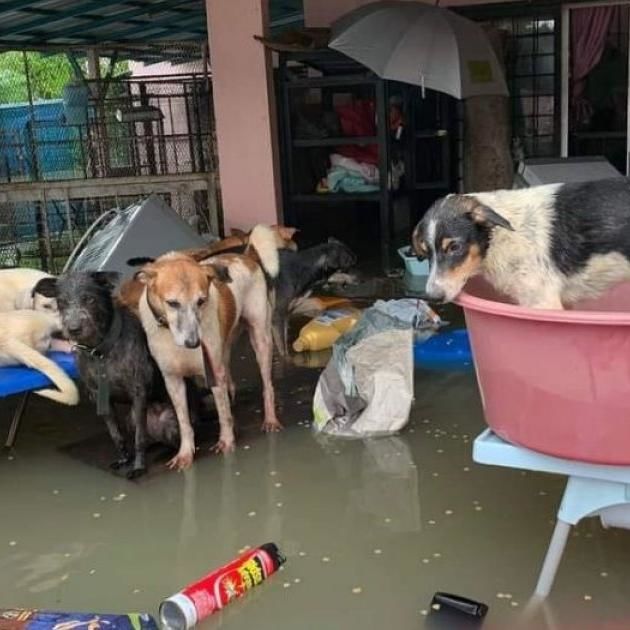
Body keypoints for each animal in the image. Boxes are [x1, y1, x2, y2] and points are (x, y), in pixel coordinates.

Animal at [51, 270, 202, 478]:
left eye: (89, 299)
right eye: (61, 302)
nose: (73, 329)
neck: (100, 351)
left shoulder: (138, 392)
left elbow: (139, 438)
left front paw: (139, 466)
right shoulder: (100, 398)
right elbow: (116, 434)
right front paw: (125, 459)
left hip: (169, 420)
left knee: (174, 438)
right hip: (131, 418)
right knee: (148, 437)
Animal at [133, 226, 282, 470]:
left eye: (201, 301)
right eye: (172, 303)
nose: (193, 343)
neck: (171, 337)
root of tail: (246, 256)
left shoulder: (213, 370)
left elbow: (223, 413)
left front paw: (227, 442)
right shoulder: (173, 380)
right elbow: (184, 421)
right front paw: (185, 453)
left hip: (260, 339)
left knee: (267, 385)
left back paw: (270, 420)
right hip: (226, 345)